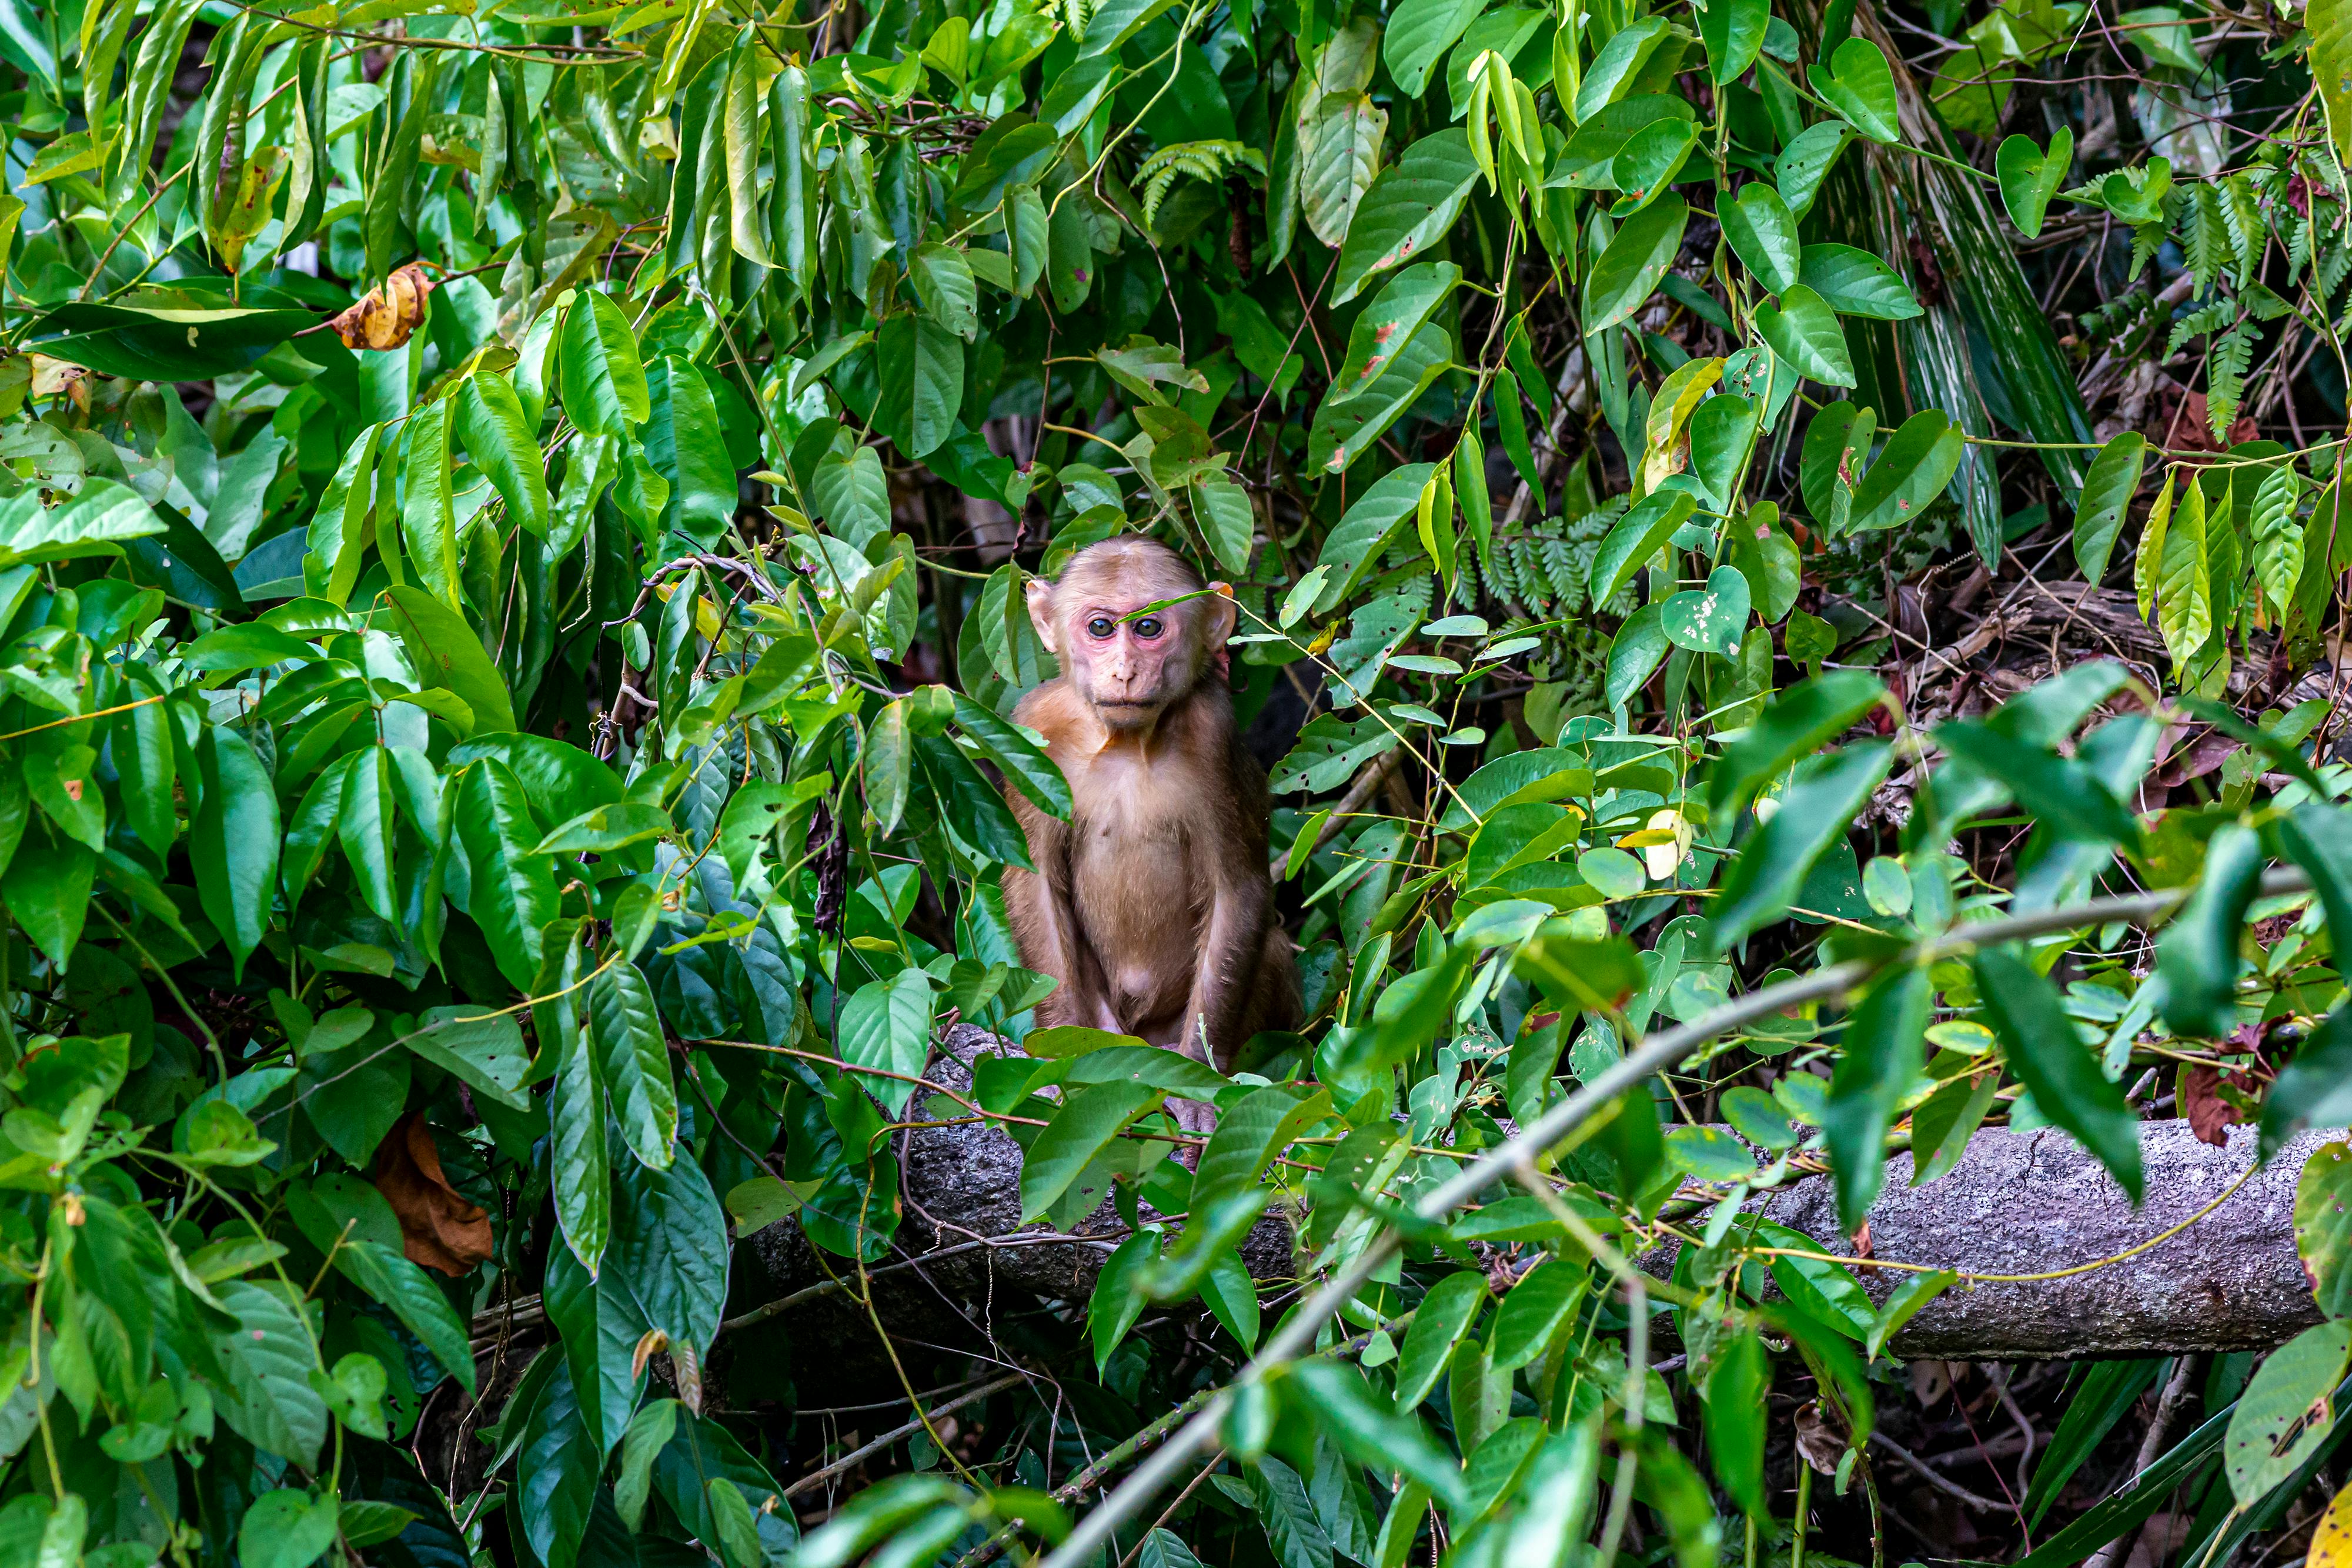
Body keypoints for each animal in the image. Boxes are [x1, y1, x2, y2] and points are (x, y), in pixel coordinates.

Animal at [997, 540, 1308, 1114]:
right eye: (1101, 628)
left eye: (1148, 628)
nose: (1124, 671)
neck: (1124, 742)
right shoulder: (1034, 729)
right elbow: (1036, 884)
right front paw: (1056, 1054)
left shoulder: (1214, 734)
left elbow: (1237, 891)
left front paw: (1199, 1080)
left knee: (1272, 947)